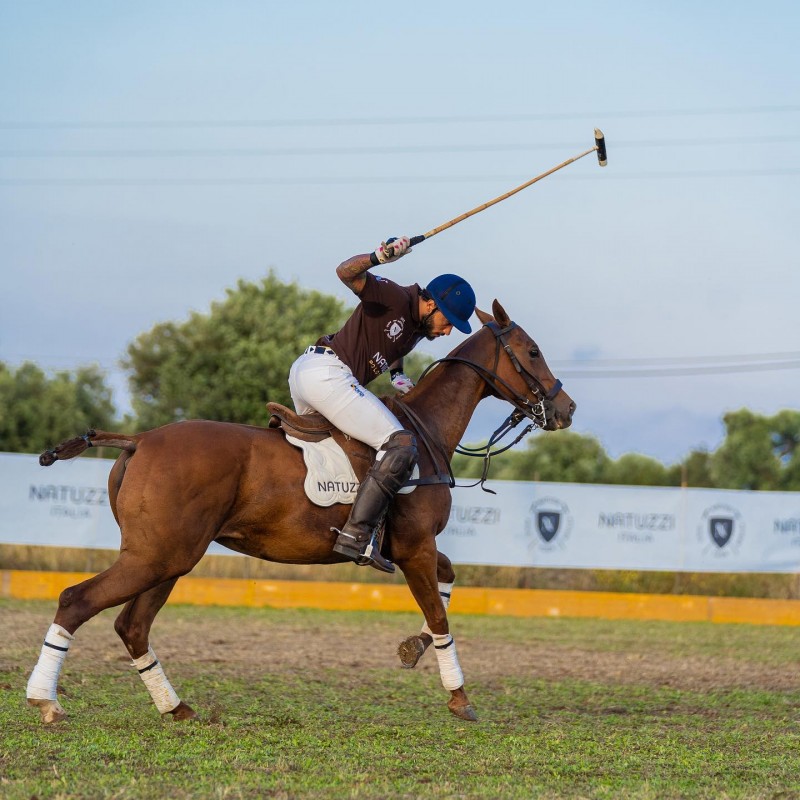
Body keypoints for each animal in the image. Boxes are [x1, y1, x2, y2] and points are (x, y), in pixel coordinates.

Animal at [26, 302, 576, 724]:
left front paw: (412, 649)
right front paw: (460, 698)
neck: (425, 432)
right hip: (157, 554)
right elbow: (439, 611)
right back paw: (46, 702)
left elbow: (447, 582)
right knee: (77, 600)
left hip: (168, 556)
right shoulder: (417, 545)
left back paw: (175, 708)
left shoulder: (412, 547)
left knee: (132, 625)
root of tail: (139, 439)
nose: (566, 409)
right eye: (532, 350)